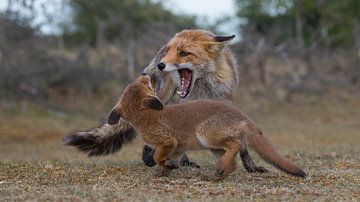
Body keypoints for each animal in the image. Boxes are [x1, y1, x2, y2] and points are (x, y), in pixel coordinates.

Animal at [107, 75, 306, 181]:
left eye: (145, 84)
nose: (145, 75)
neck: (148, 118)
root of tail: (242, 115)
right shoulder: (177, 148)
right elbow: (165, 162)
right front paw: (165, 172)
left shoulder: (169, 141)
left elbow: (157, 156)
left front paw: (165, 168)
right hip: (214, 147)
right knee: (234, 161)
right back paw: (217, 175)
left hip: (206, 135)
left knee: (236, 145)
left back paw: (218, 171)